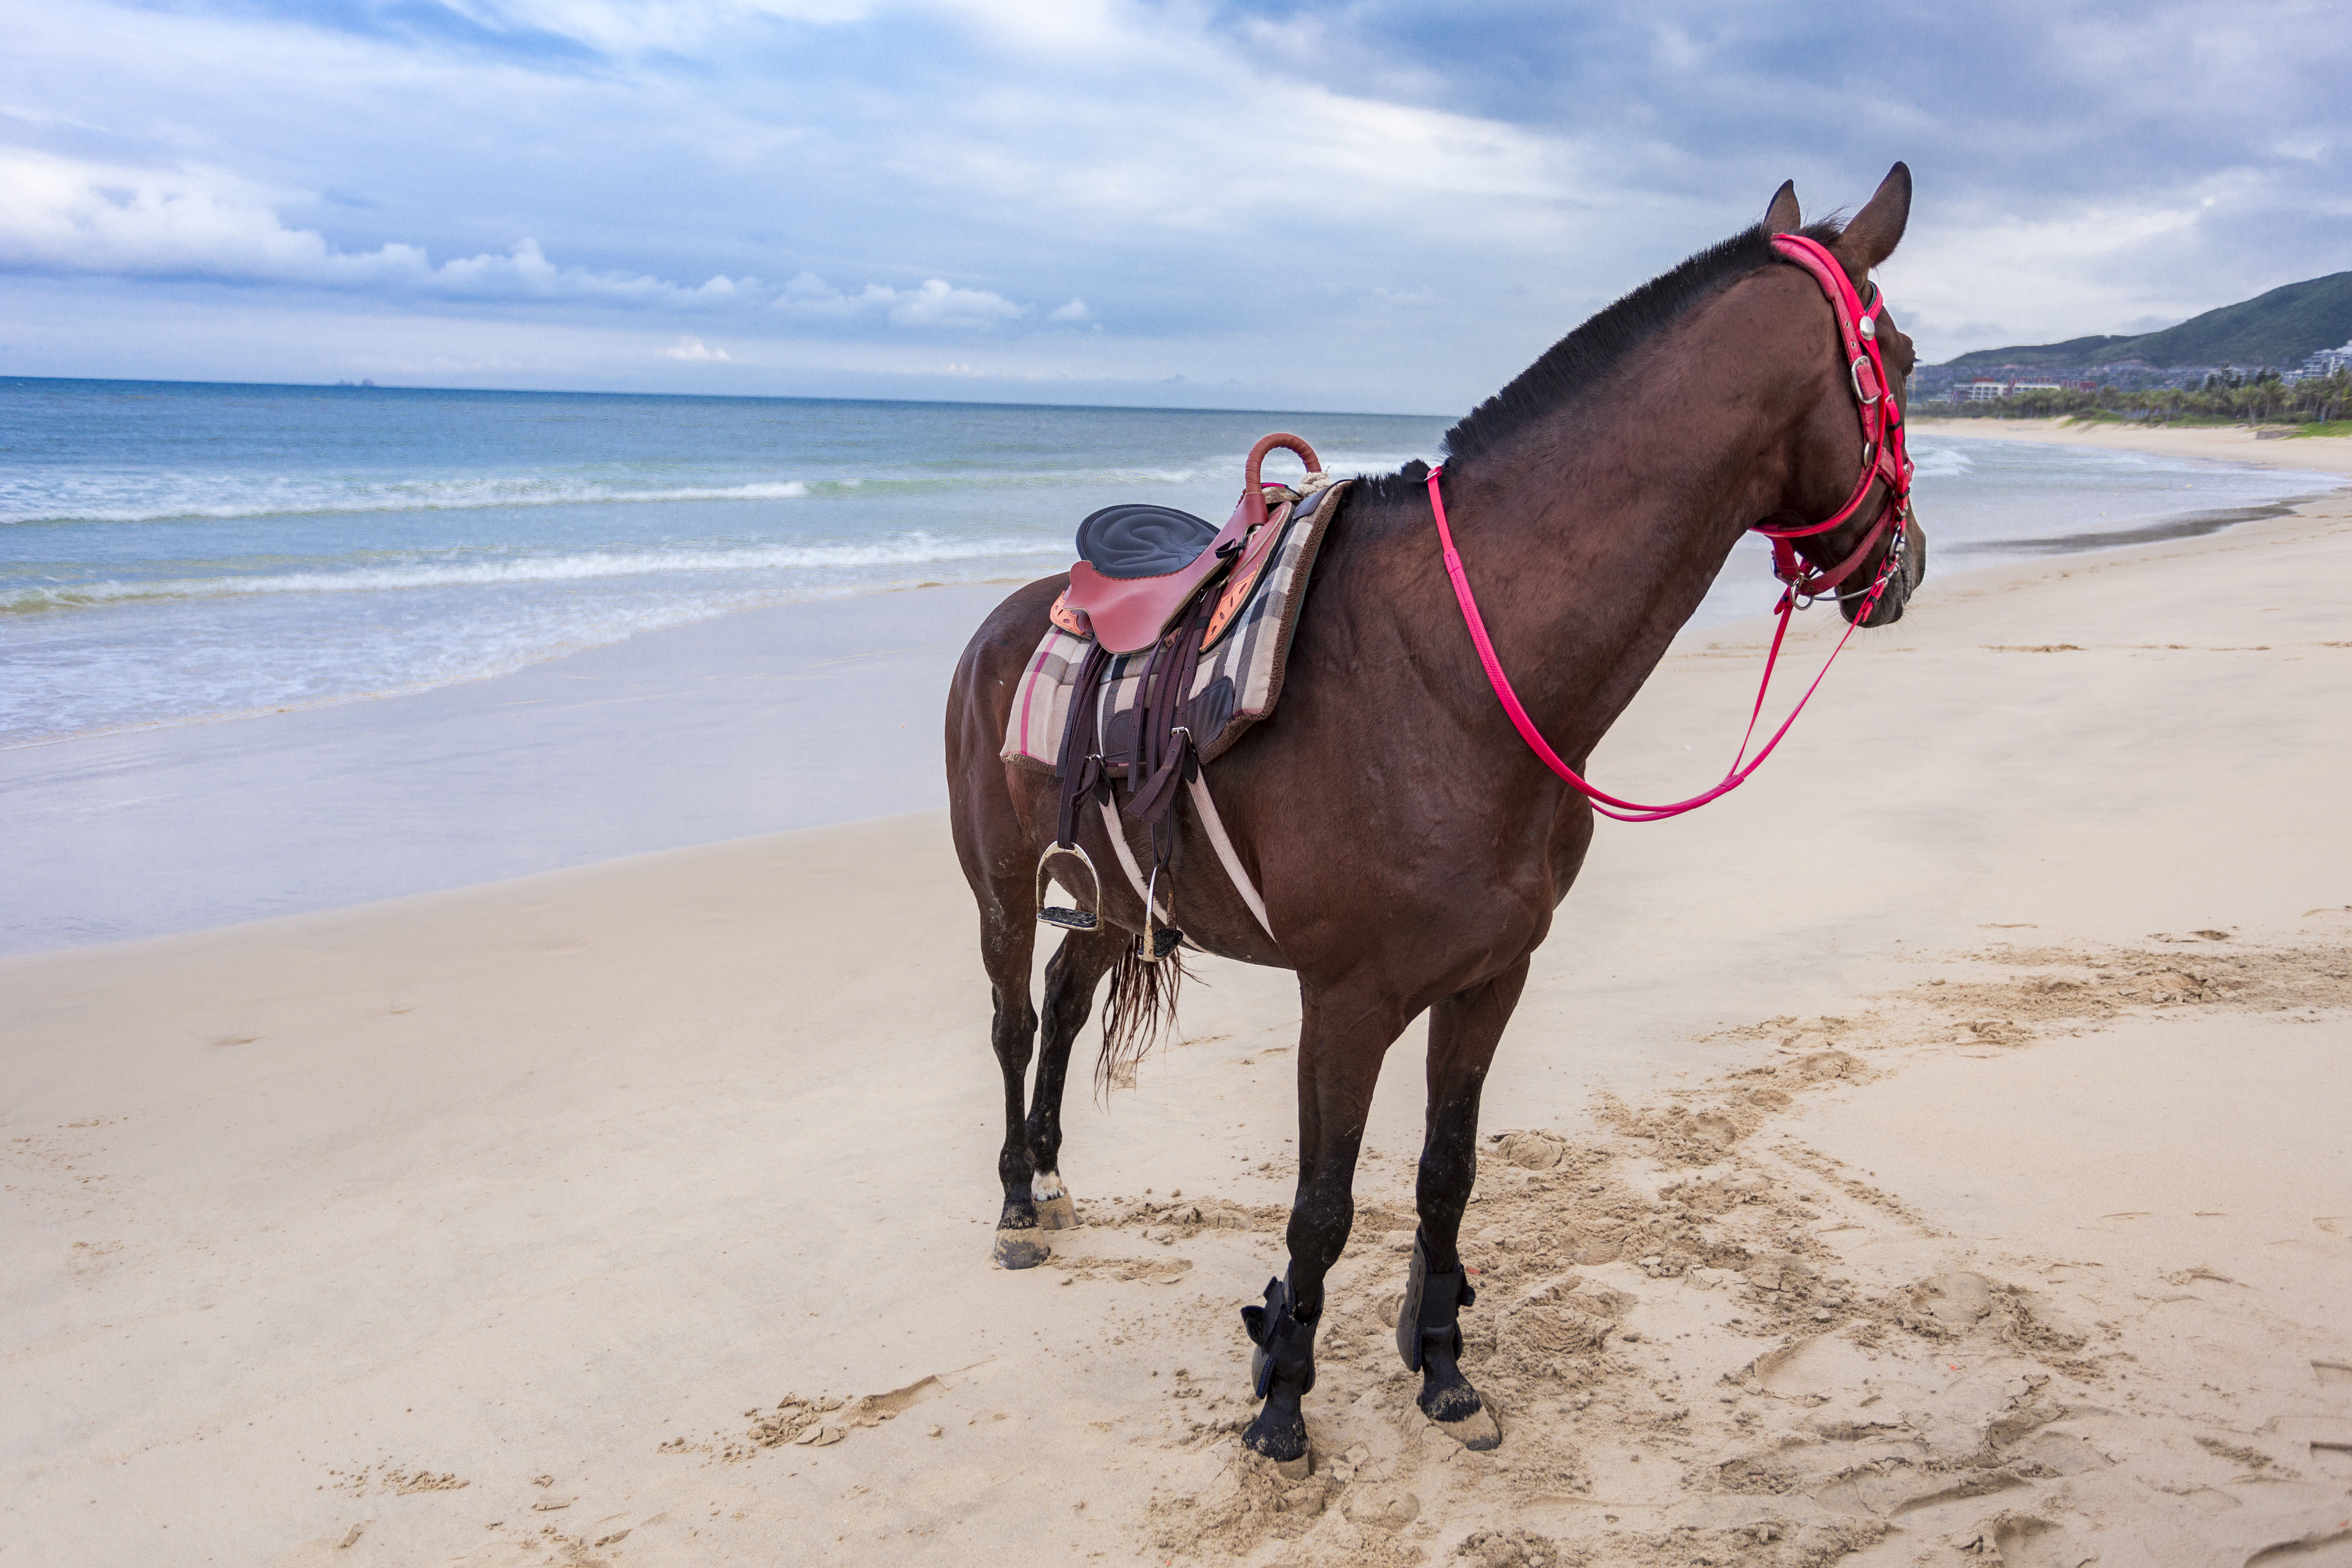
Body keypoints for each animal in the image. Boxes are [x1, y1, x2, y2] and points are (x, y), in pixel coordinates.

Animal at [940, 165, 1929, 1467]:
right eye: (1903, 359)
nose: (1905, 566)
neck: (1456, 670)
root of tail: (1011, 615)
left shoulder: (1490, 978)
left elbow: (1443, 1175)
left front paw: (1443, 1365)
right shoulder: (1345, 1002)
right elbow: (1321, 1204)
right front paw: (1282, 1395)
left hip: (1112, 895)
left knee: (1063, 998)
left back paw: (1053, 1173)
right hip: (1005, 889)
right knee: (1014, 1021)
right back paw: (1016, 1196)